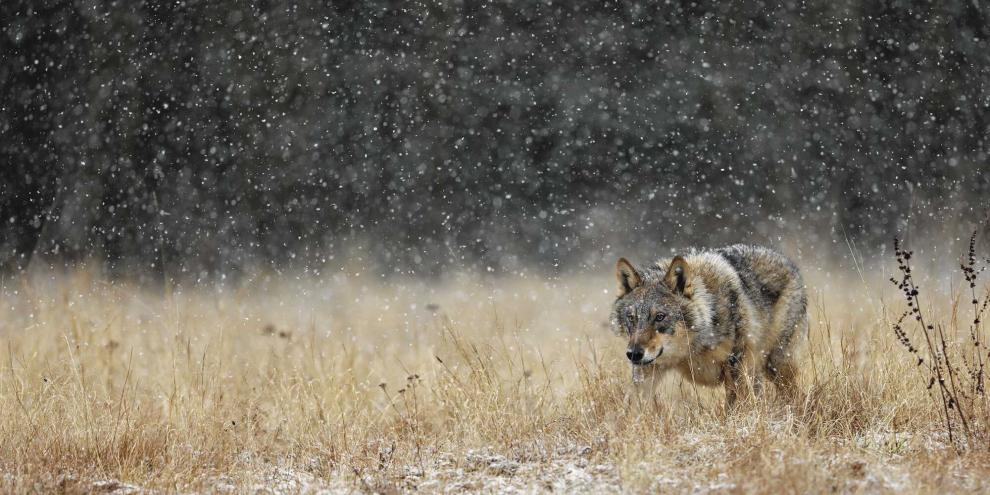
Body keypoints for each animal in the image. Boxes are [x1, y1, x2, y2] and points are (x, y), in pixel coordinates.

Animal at [610, 244, 808, 407]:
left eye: (659, 317)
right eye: (631, 318)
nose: (634, 354)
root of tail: (789, 263)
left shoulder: (735, 365)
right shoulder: (646, 370)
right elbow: (632, 405)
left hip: (776, 364)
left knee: (795, 395)